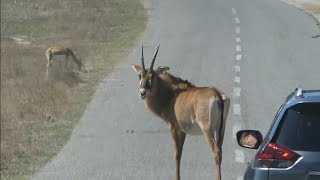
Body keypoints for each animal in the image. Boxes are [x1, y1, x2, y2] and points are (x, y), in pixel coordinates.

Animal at [131, 45, 231, 179]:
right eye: (140, 75)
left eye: (153, 76)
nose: (142, 93)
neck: (172, 95)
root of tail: (217, 95)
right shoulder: (183, 131)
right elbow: (181, 153)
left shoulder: (173, 127)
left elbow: (176, 154)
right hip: (221, 129)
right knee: (220, 152)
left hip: (207, 130)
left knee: (216, 153)